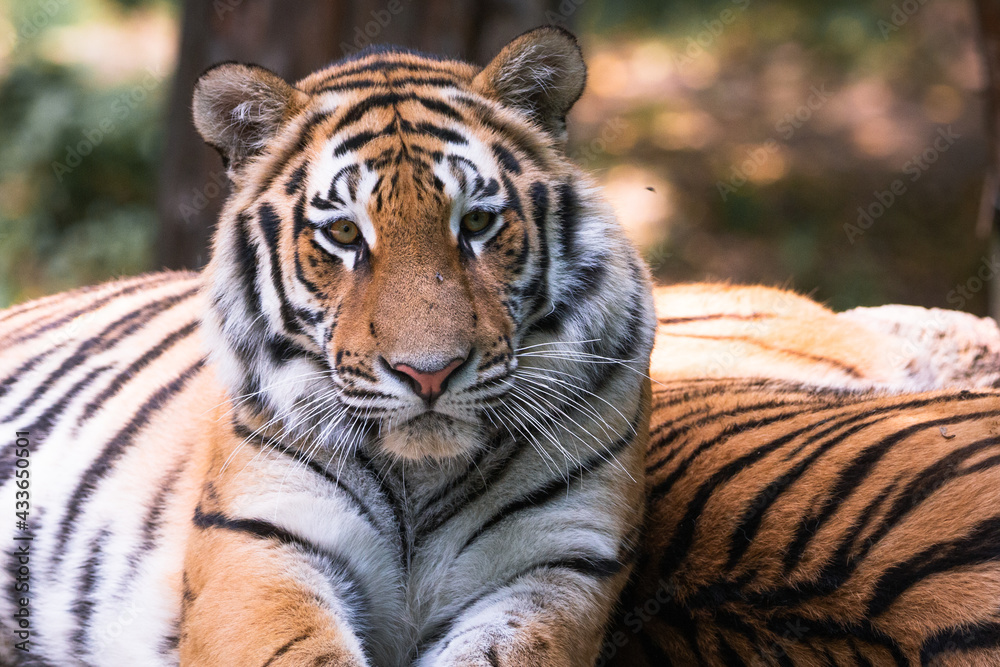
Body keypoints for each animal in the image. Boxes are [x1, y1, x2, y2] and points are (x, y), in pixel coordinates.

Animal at [0, 27, 657, 666]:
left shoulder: (559, 560)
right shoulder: (260, 544)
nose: (430, 374)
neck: (421, 479)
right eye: (343, 232)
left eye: (475, 223)